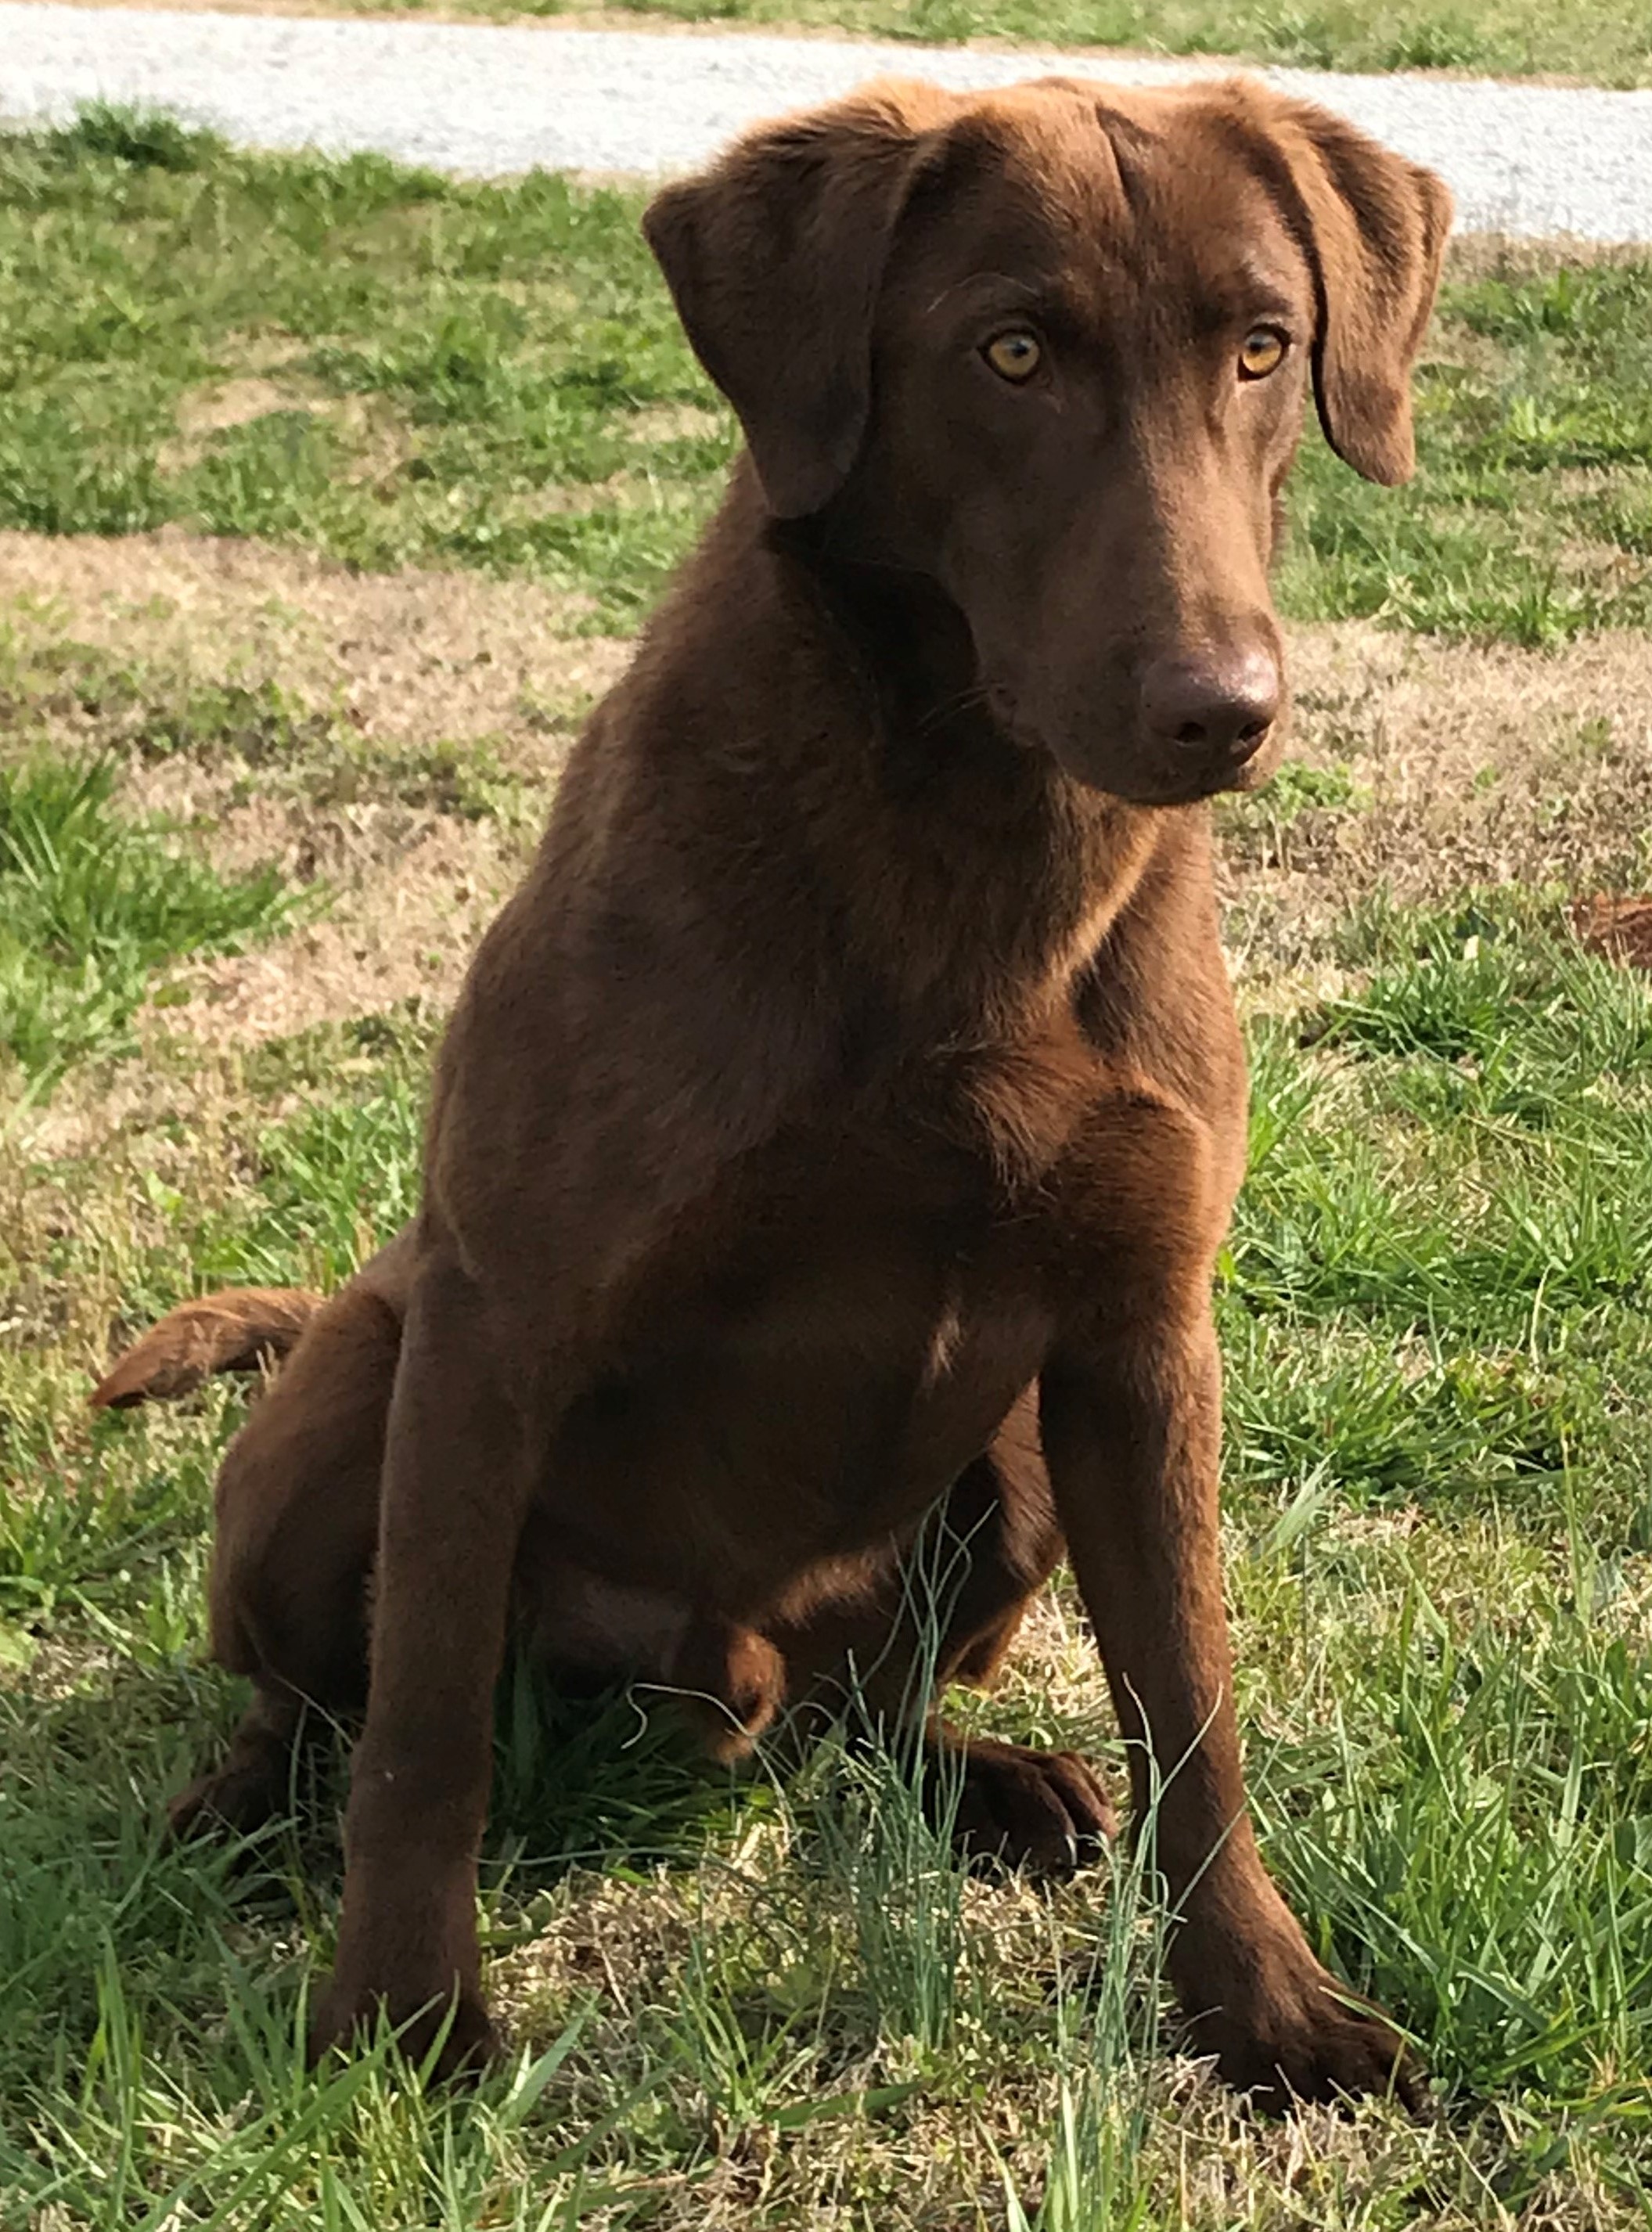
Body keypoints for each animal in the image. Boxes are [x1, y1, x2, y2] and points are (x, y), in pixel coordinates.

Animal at [99, 78, 1446, 2107]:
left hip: (1012, 1463)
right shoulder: (497, 1320)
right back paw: (238, 1810)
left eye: (1261, 347)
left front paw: (1265, 2009)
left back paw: (994, 1780)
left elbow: (1191, 1702)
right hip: (347, 1409)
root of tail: (708, 1691)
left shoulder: (1140, 1340)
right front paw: (401, 2019)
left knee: (861, 1718)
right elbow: (424, 1724)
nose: (1220, 706)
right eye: (1011, 351)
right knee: (322, 1696)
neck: (967, 843)